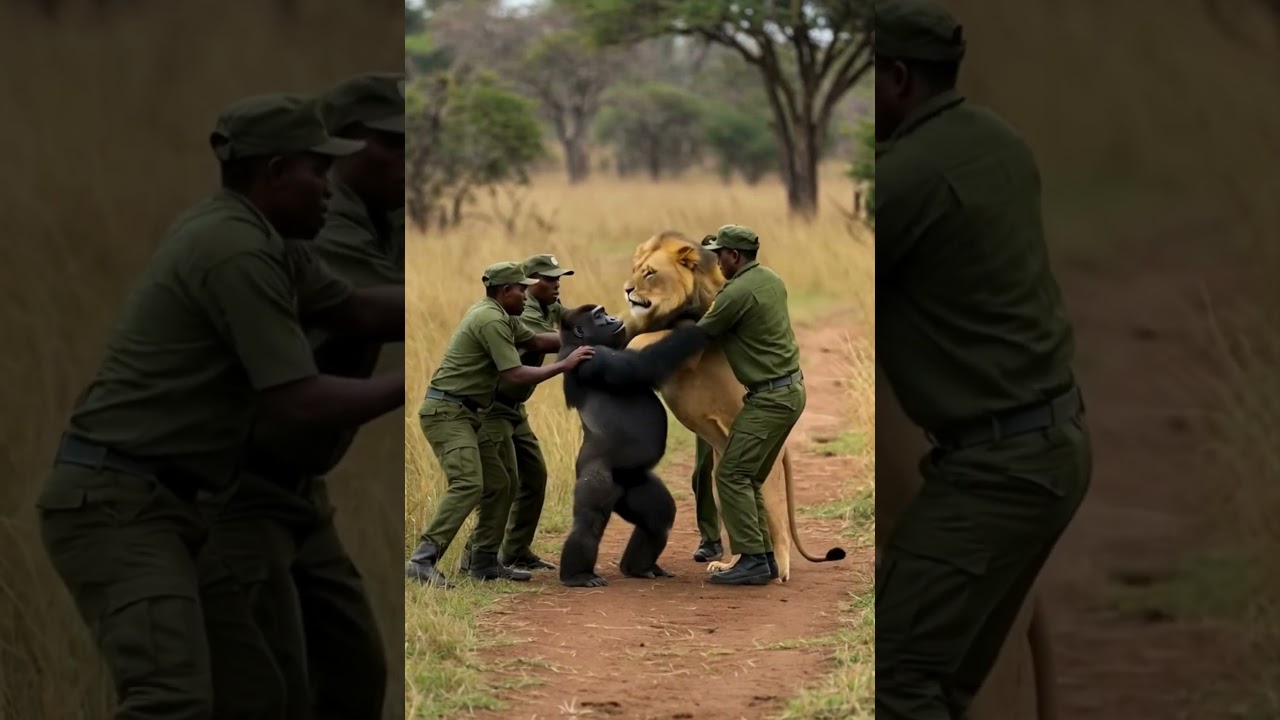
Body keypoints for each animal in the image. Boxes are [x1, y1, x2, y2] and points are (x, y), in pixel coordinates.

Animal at [556, 304, 711, 587]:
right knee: (589, 523)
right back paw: (577, 575)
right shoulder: (594, 356)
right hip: (597, 476)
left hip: (632, 482)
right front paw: (694, 327)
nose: (613, 318)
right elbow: (642, 366)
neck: (576, 341)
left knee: (658, 518)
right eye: (598, 316)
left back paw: (638, 568)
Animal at [619, 230, 845, 583]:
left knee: (777, 527)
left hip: (765, 476)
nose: (628, 290)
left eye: (650, 273)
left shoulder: (694, 341)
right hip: (724, 474)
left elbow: (642, 341)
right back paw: (733, 566)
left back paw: (777, 570)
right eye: (634, 269)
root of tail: (783, 446)